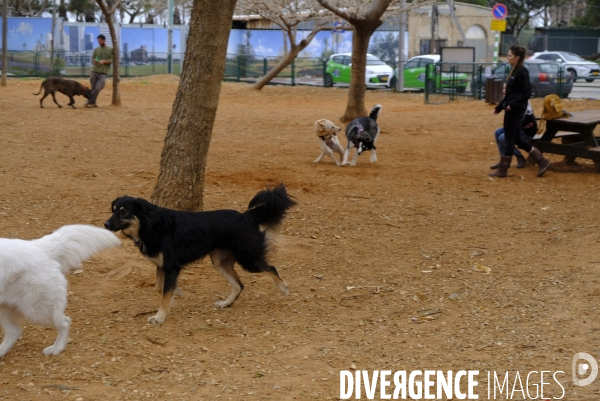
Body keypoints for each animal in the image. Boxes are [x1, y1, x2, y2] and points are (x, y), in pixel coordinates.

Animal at [106, 183, 298, 324]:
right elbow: (161, 288)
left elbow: (164, 293)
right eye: (113, 209)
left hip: (248, 259)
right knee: (239, 285)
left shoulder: (172, 266)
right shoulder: (162, 266)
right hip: (220, 263)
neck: (151, 224)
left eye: (124, 211)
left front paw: (160, 316)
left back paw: (284, 289)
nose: (106, 225)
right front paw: (175, 295)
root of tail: (247, 216)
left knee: (271, 268)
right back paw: (226, 303)